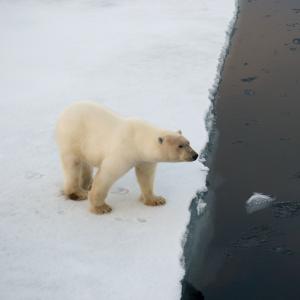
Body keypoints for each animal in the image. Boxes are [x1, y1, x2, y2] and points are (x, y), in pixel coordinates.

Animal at [55, 102, 199, 214]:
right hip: (72, 137)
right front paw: (101, 208)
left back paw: (87, 184)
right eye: (180, 146)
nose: (195, 155)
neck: (138, 139)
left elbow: (145, 176)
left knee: (86, 164)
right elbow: (107, 174)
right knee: (73, 164)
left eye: (188, 142)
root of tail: (65, 112)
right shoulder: (123, 151)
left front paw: (155, 200)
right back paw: (78, 193)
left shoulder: (144, 158)